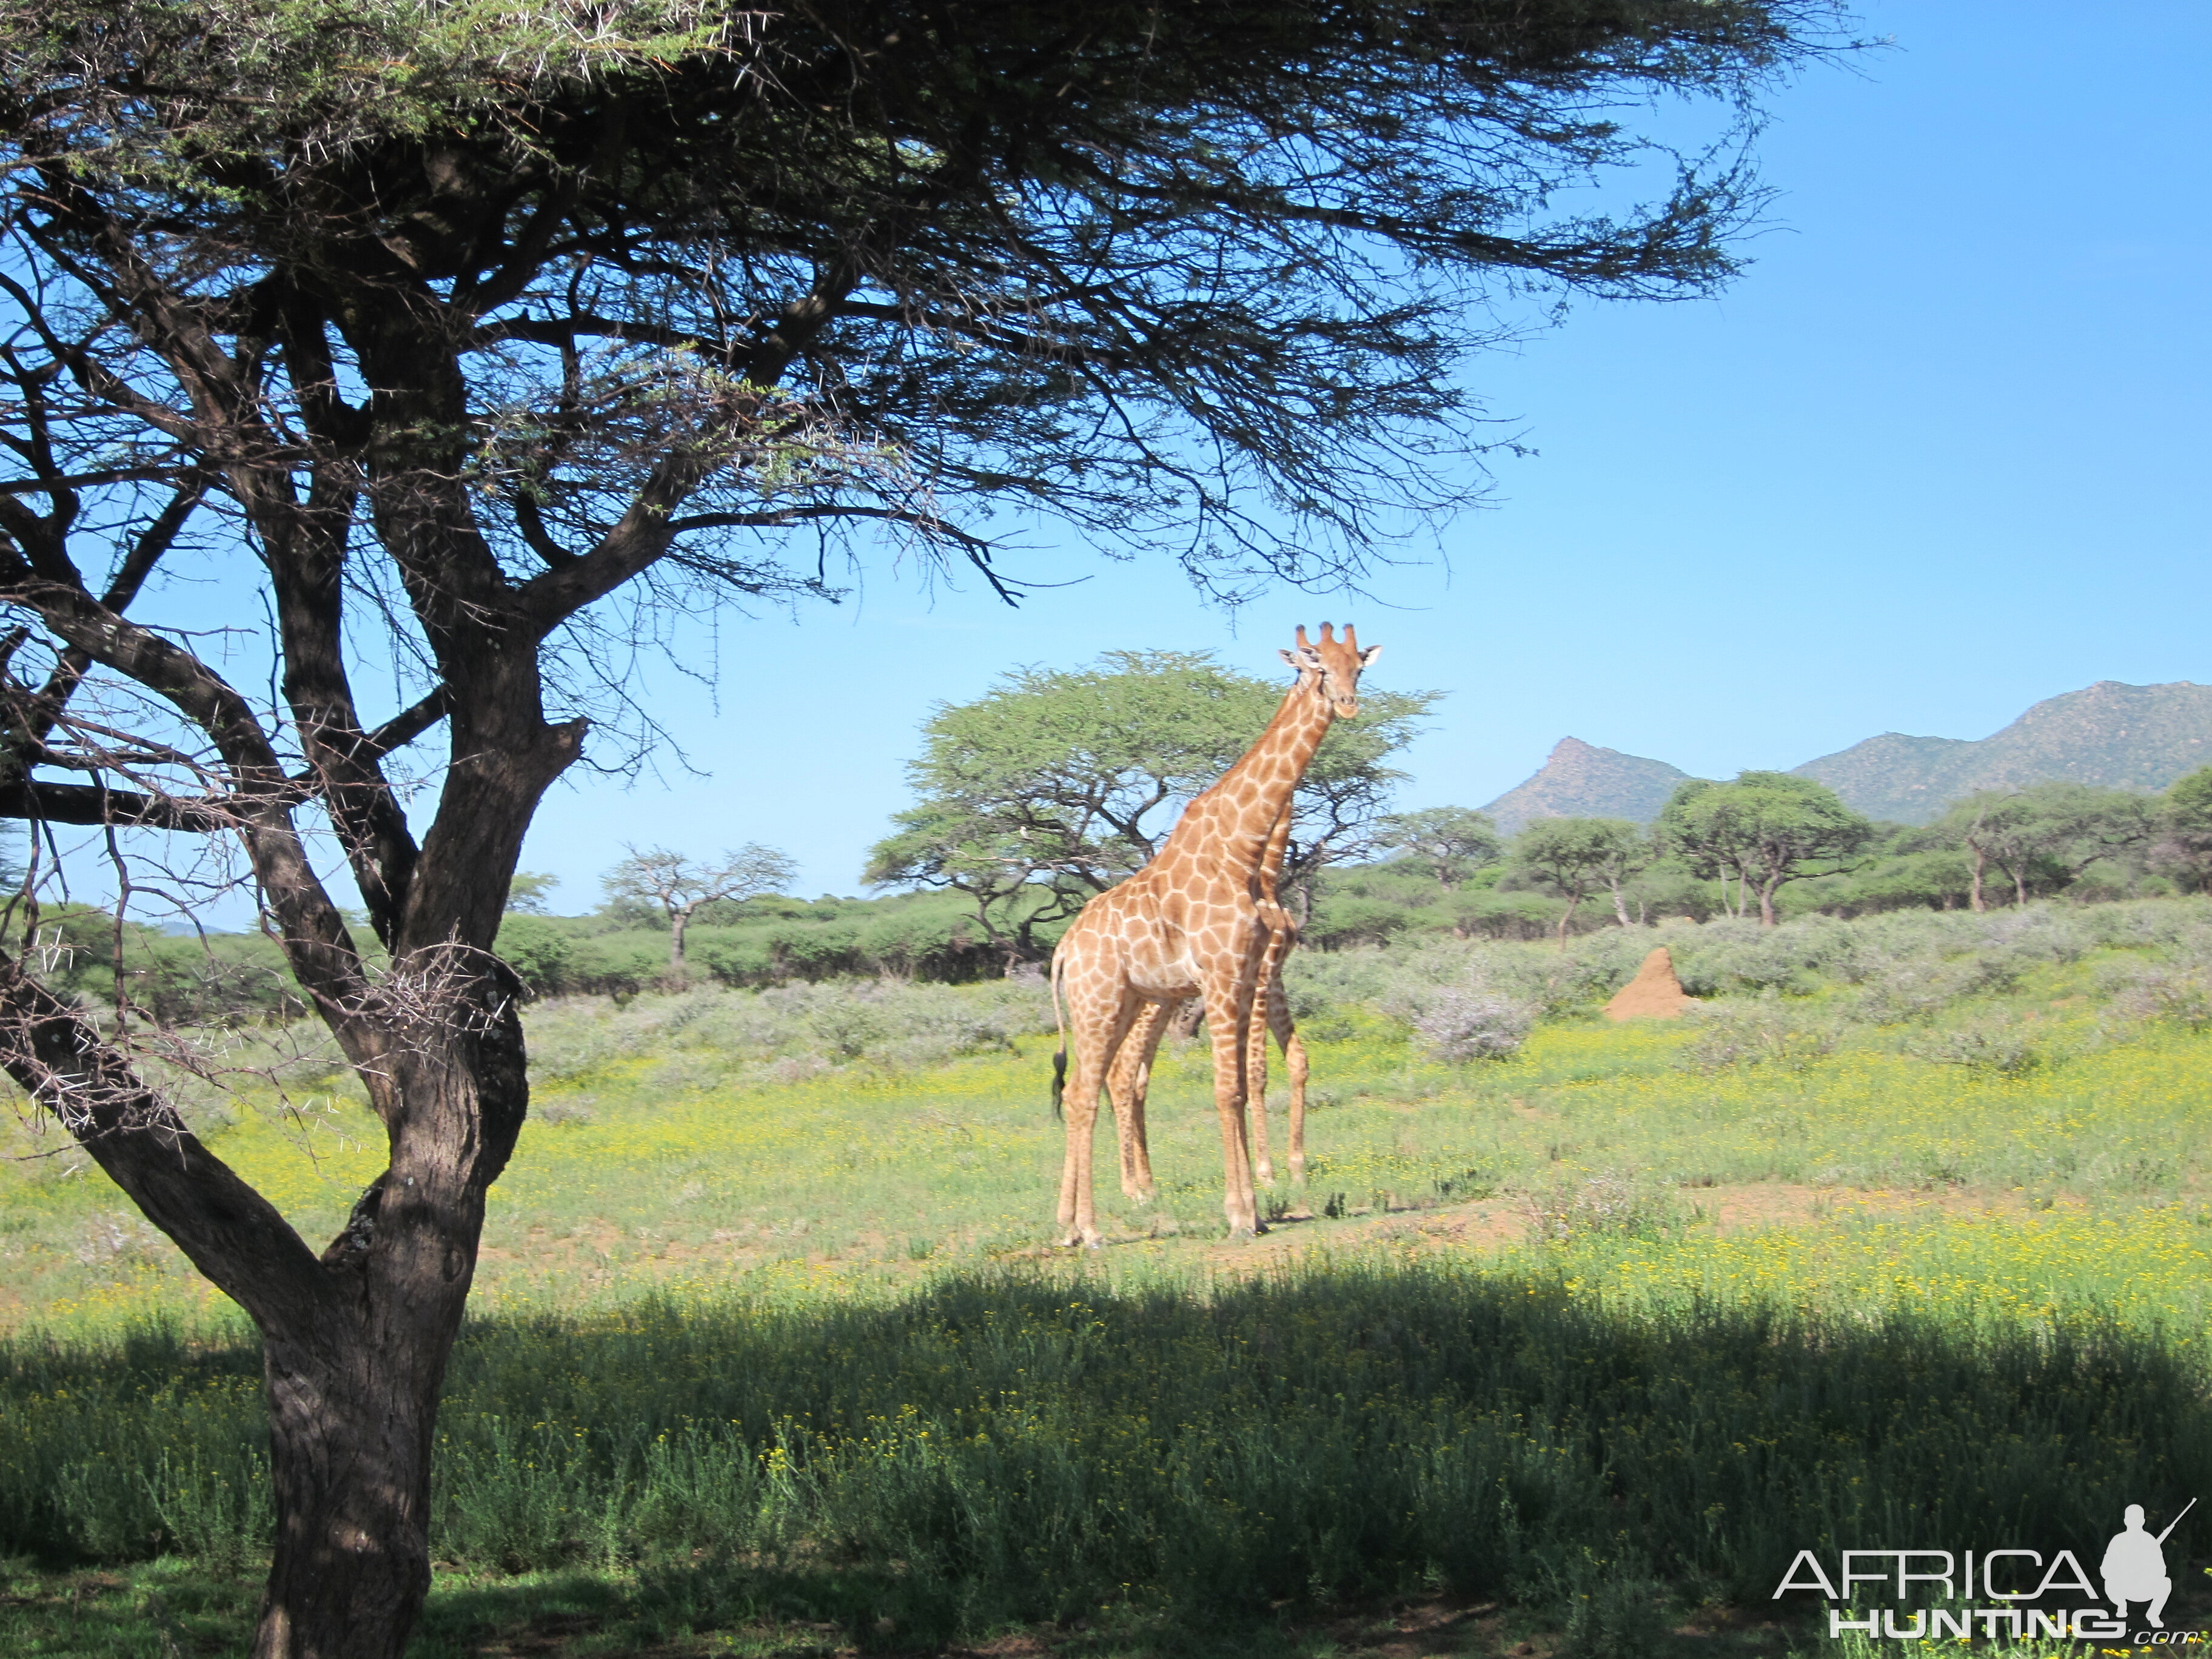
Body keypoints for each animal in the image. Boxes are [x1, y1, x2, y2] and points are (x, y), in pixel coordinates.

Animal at [1044, 623, 1371, 1247]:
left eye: (1358, 667)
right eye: (1315, 664)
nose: (1346, 704)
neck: (1243, 848)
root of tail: (1065, 949)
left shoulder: (1244, 976)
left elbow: (1245, 1081)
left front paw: (1258, 1209)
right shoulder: (1223, 975)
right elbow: (1230, 1088)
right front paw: (1243, 1212)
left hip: (1125, 1002)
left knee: (1089, 1089)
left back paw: (1069, 1227)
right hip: (1099, 1004)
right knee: (1087, 1093)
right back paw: (1093, 1228)